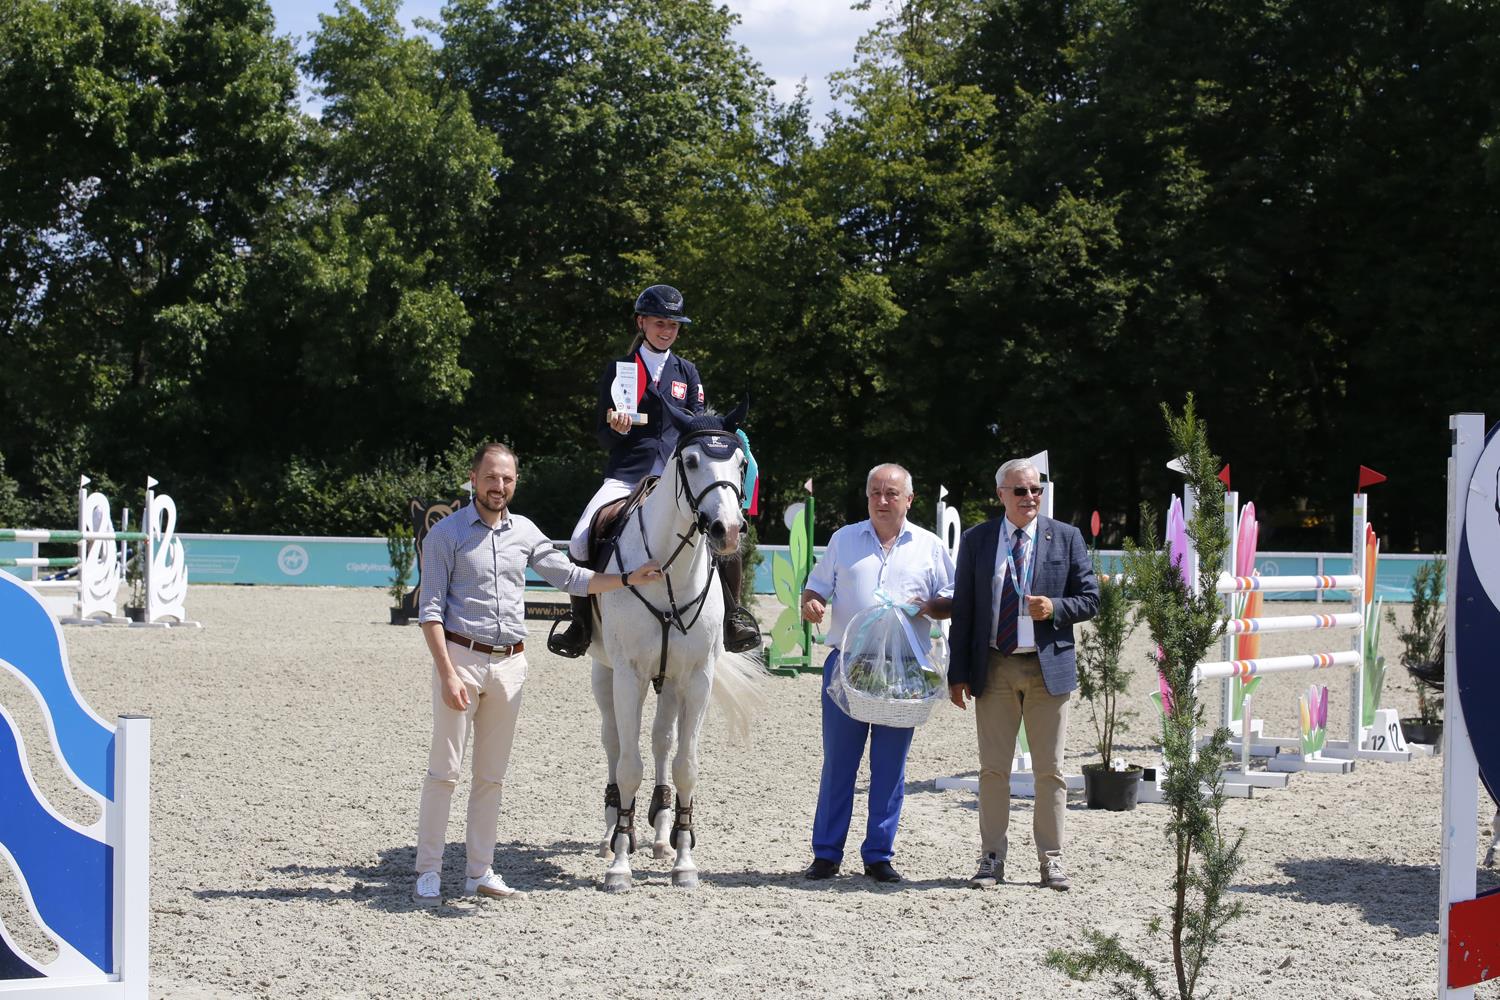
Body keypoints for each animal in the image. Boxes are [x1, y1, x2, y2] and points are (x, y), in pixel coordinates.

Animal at [588, 402, 766, 891]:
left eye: (740, 463)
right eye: (690, 461)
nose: (727, 530)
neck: (670, 571)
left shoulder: (697, 677)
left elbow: (686, 764)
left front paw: (684, 861)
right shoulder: (629, 675)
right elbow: (628, 764)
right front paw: (619, 864)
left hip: (669, 680)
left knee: (661, 742)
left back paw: (661, 833)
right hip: (604, 673)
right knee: (614, 742)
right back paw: (611, 833)